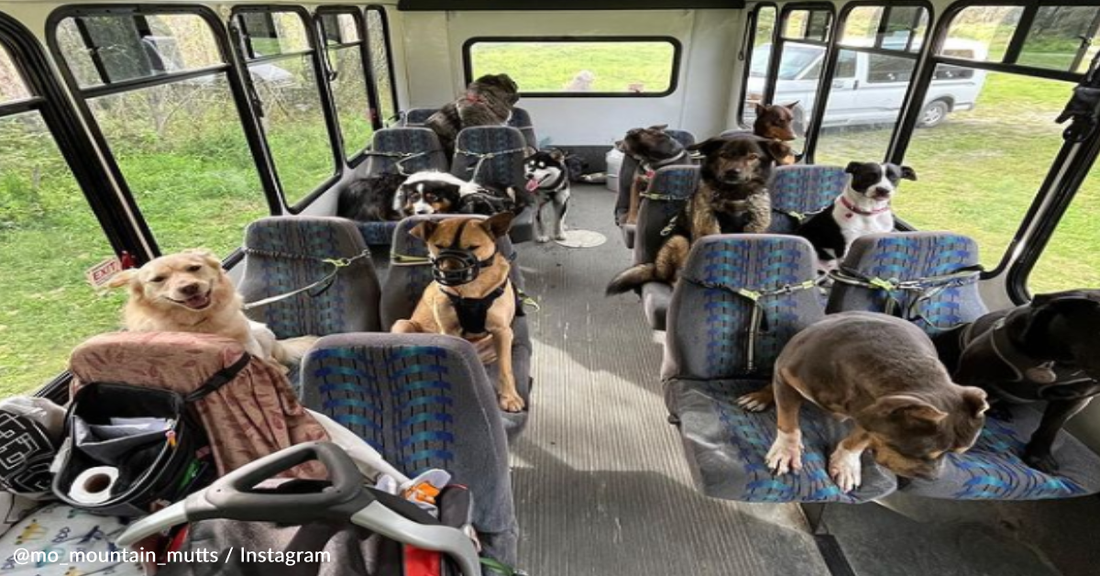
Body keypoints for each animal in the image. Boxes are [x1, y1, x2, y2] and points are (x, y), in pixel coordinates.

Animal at [391, 213, 523, 411]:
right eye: (439, 246)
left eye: (473, 247)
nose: (450, 275)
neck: (471, 291)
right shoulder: (450, 332)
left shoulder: (502, 331)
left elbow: (506, 369)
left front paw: (510, 397)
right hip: (403, 324)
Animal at [611, 136, 792, 294]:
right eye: (724, 155)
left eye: (753, 156)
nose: (733, 172)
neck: (734, 196)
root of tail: (656, 268)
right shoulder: (705, 232)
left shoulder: (754, 229)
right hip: (679, 241)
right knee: (672, 277)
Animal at [739, 312, 990, 492]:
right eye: (924, 454)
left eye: (959, 451)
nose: (934, 479)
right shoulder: (786, 374)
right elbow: (788, 422)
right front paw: (787, 450)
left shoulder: (872, 418)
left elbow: (857, 440)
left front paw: (846, 464)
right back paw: (759, 397)